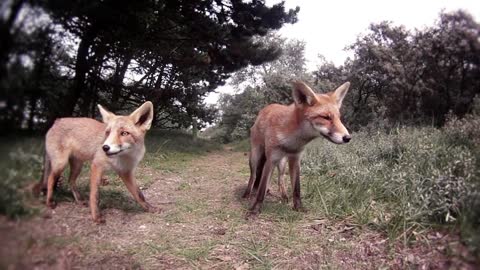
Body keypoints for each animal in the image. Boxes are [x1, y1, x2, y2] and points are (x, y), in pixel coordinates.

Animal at [244, 80, 352, 217]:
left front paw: (298, 207)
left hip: (282, 163)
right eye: (326, 117)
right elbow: (261, 188)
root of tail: (265, 109)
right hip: (255, 157)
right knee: (253, 176)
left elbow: (296, 188)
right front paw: (255, 210)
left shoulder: (295, 158)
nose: (348, 137)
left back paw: (284, 196)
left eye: (338, 117)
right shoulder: (271, 159)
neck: (293, 140)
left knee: (280, 179)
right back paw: (247, 194)